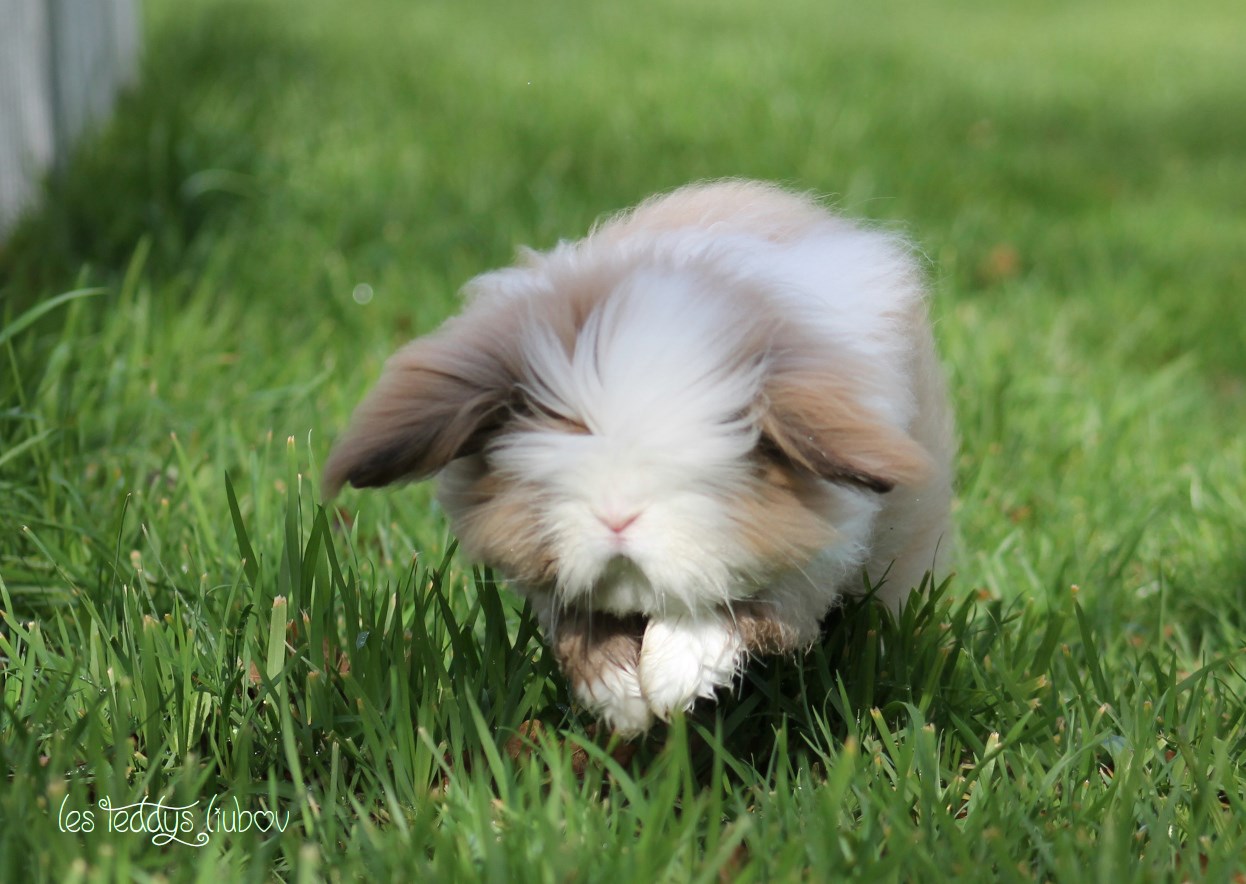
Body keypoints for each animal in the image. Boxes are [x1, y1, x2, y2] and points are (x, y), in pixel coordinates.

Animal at [323, 180, 955, 735]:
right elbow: (582, 634)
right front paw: (623, 703)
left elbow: (728, 615)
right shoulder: (554, 591)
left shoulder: (808, 573)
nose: (617, 518)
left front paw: (672, 682)